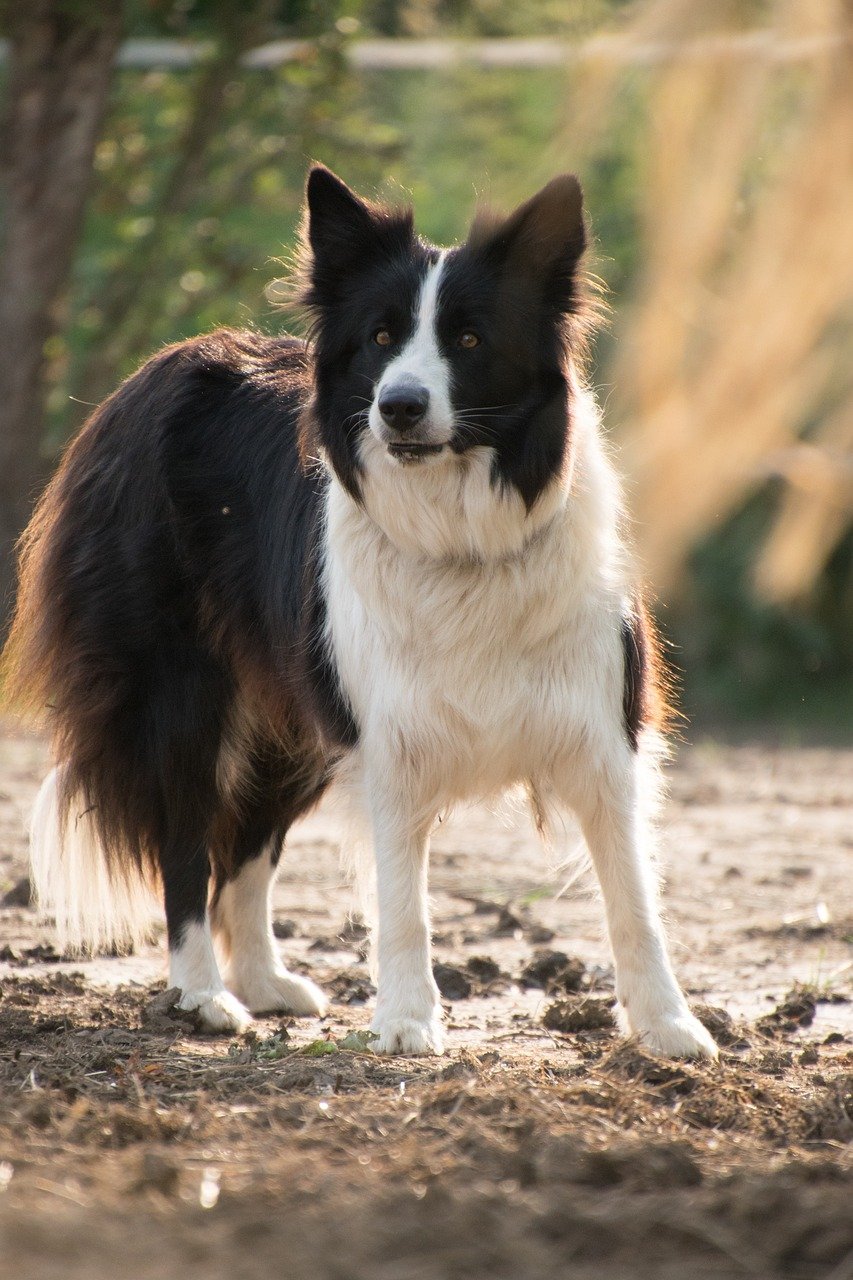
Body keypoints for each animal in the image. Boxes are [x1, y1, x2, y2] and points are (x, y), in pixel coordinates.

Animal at [3, 162, 712, 1059]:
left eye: (468, 341)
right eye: (379, 338)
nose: (398, 406)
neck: (460, 535)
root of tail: (147, 377)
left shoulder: (601, 732)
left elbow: (634, 898)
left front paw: (669, 1027)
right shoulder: (390, 740)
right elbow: (402, 903)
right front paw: (407, 1021)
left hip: (292, 714)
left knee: (245, 848)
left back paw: (263, 982)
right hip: (185, 693)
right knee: (189, 846)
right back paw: (203, 996)